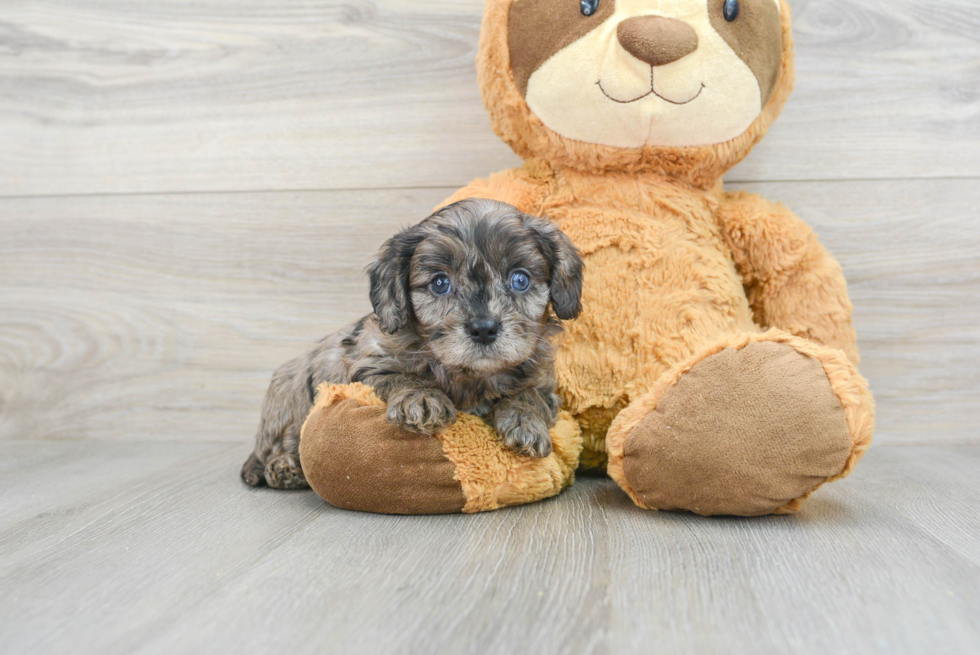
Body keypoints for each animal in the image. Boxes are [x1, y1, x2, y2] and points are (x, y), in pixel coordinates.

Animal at [243, 197, 580, 490]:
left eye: (520, 280)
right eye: (440, 283)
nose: (484, 328)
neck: (469, 375)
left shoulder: (543, 382)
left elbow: (529, 395)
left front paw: (525, 422)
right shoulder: (368, 362)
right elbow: (402, 376)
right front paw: (422, 399)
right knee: (276, 448)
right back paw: (285, 467)